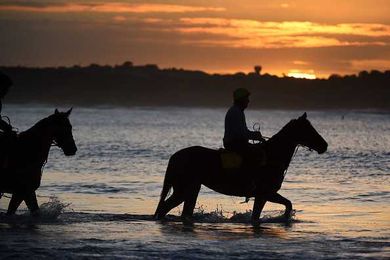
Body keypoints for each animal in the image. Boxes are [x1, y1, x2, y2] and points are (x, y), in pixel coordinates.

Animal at [154, 112, 328, 224]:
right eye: (308, 129)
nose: (324, 146)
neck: (272, 155)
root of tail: (176, 156)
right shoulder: (265, 194)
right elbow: (266, 213)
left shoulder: (266, 195)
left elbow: (287, 204)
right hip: (184, 190)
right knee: (164, 208)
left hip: (191, 189)